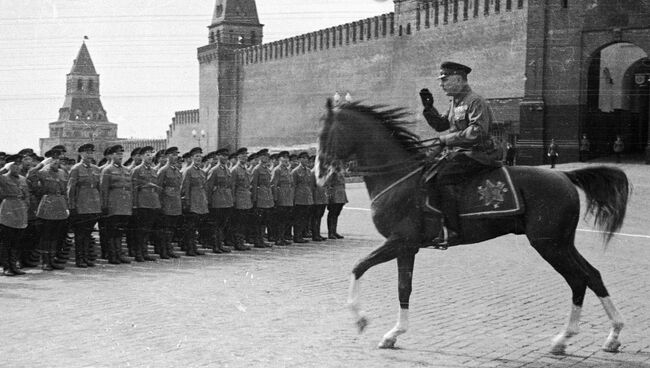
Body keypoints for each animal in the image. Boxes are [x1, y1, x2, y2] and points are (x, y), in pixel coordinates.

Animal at [314, 100, 628, 354]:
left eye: (325, 134)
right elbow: (404, 288)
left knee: (578, 280)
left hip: (549, 244)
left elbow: (358, 267)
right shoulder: (407, 247)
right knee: (592, 276)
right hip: (562, 243)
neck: (401, 177)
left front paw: (360, 318)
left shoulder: (398, 242)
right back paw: (609, 335)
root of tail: (564, 175)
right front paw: (394, 333)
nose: (318, 173)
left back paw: (566, 337)